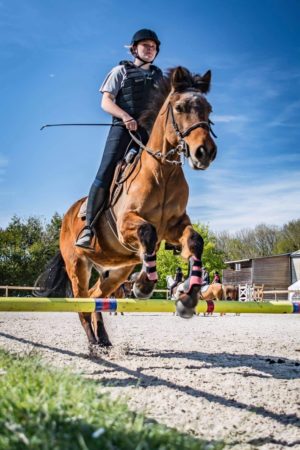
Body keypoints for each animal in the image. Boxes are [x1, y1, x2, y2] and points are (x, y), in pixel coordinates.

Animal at [36, 67, 217, 346]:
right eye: (180, 107)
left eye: (209, 109)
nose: (204, 152)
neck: (162, 172)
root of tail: (67, 217)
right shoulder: (126, 226)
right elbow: (147, 233)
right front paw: (143, 285)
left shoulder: (175, 227)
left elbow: (195, 241)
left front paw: (188, 299)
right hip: (77, 266)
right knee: (82, 302)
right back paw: (93, 342)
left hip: (116, 271)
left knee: (96, 297)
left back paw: (104, 339)